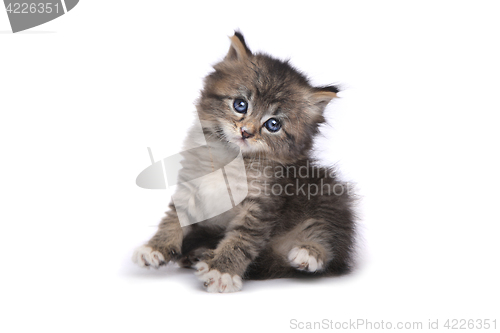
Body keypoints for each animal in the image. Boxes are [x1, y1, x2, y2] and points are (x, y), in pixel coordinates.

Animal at [133, 31, 356, 290]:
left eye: (273, 124)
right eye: (240, 104)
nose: (246, 132)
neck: (229, 158)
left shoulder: (262, 203)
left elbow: (241, 240)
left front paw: (222, 270)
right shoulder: (190, 184)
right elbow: (173, 217)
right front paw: (156, 247)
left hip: (327, 195)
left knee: (328, 240)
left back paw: (307, 253)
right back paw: (197, 253)